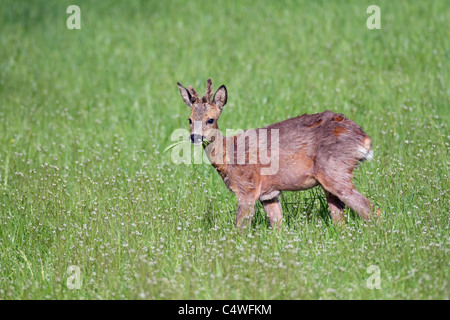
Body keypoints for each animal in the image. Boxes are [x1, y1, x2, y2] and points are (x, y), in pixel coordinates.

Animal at [177, 79, 380, 229]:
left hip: (334, 170)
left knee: (372, 210)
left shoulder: (247, 188)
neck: (228, 159)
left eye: (210, 119)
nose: (195, 137)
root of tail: (364, 139)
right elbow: (278, 226)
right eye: (189, 119)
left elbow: (240, 228)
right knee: (341, 220)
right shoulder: (269, 194)